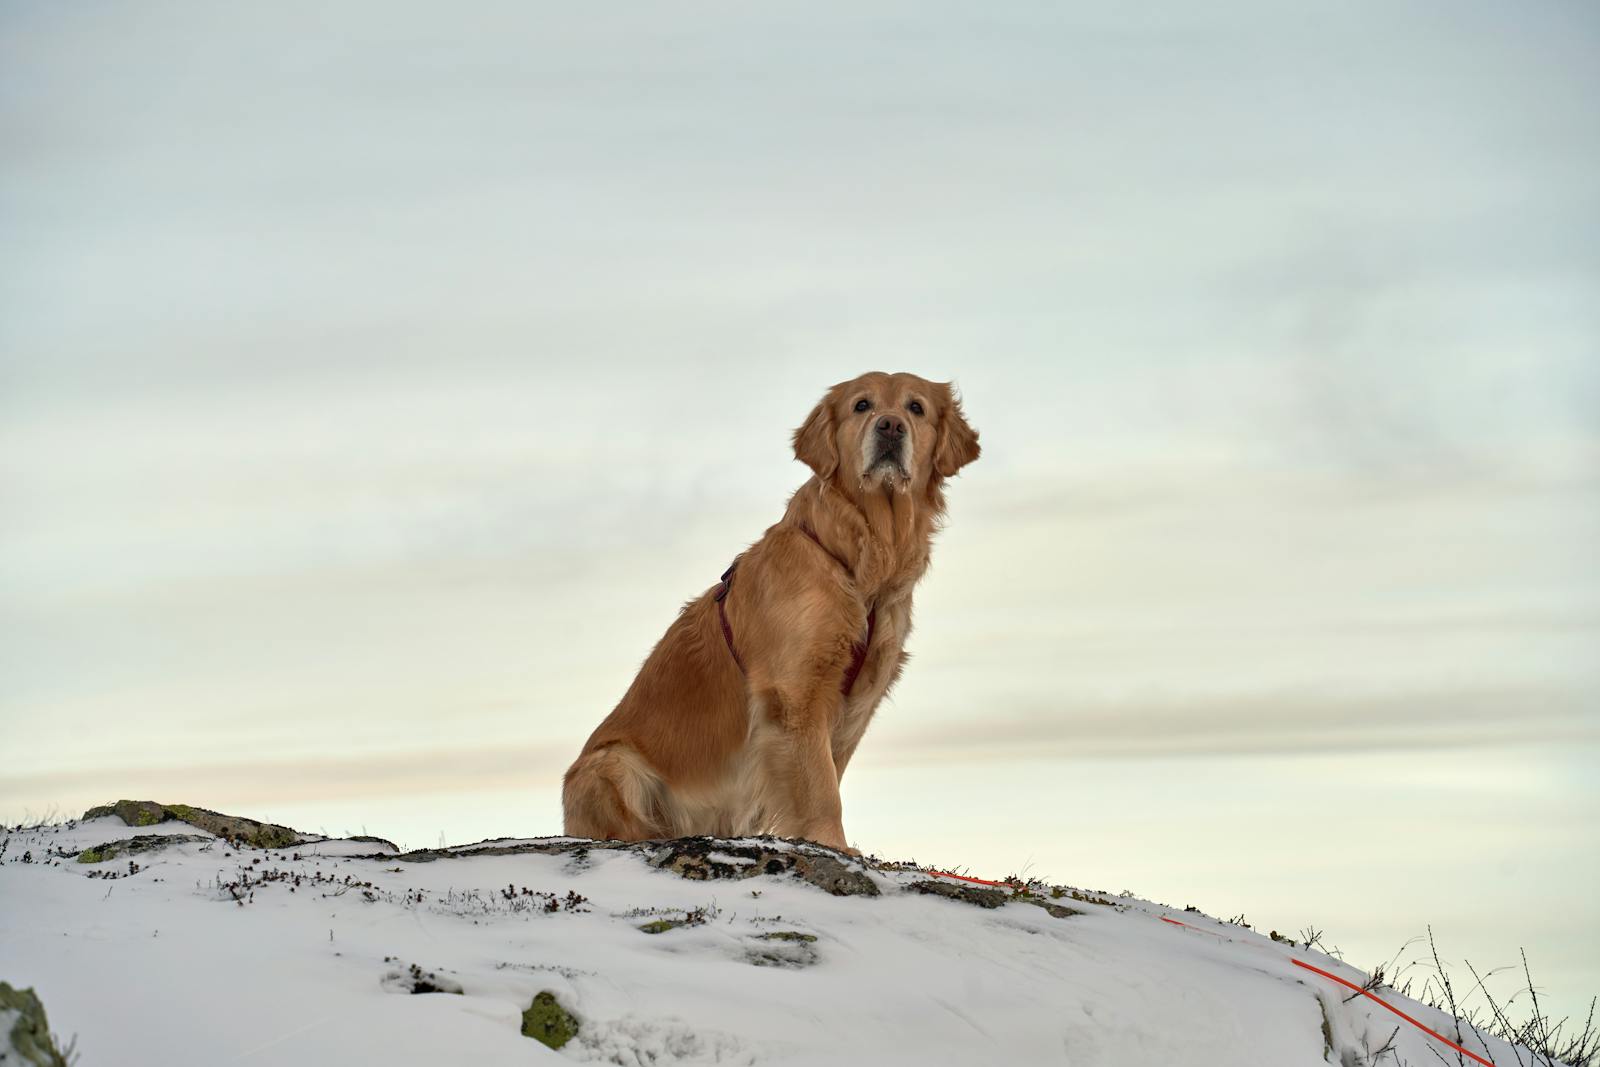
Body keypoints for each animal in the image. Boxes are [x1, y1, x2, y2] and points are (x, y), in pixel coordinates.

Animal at [563, 371, 985, 857]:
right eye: (862, 405)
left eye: (915, 408)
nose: (891, 427)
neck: (863, 565)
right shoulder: (795, 693)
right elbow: (819, 784)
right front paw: (833, 843)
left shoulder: (855, 703)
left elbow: (828, 772)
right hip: (609, 764)